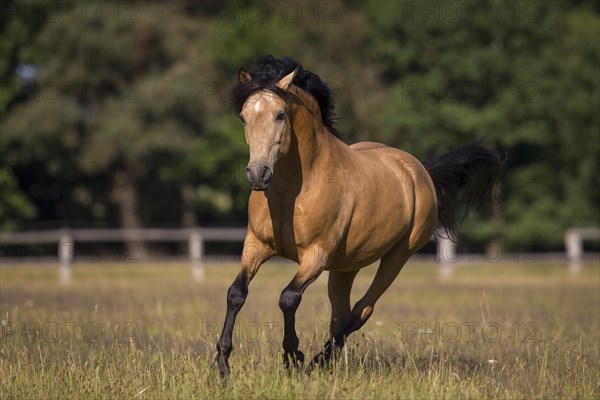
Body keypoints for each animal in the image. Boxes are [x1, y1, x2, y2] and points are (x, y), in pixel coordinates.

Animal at [216, 56, 502, 378]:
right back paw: (327, 364)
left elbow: (288, 298)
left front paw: (293, 356)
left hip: (397, 256)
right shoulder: (256, 245)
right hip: (345, 267)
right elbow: (236, 292)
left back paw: (317, 361)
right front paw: (223, 364)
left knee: (361, 310)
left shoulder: (316, 254)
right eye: (243, 117)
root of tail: (421, 170)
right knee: (340, 315)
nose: (258, 174)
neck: (294, 191)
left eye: (279, 115)